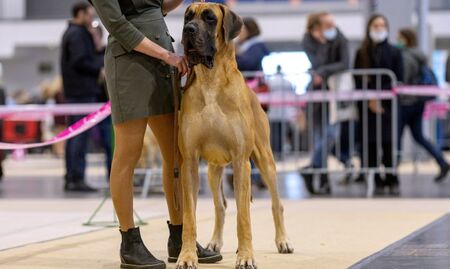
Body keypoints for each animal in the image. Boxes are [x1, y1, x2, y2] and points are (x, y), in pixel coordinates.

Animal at [176, 2, 296, 268]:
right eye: (188, 16)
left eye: (210, 18)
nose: (188, 30)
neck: (210, 80)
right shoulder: (189, 161)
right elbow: (189, 216)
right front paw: (187, 256)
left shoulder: (242, 162)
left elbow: (244, 217)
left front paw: (246, 256)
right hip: (213, 169)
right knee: (220, 206)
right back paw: (214, 243)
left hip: (265, 160)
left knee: (276, 204)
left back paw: (283, 241)